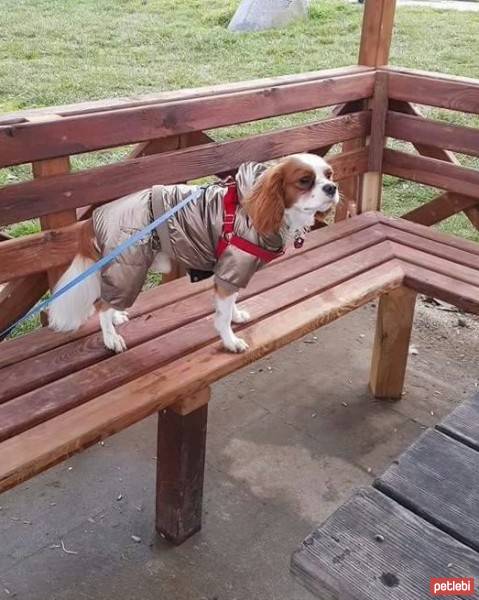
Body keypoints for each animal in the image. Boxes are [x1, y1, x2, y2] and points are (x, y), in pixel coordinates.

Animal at [48, 152, 340, 354]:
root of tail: (92, 219)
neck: (252, 206)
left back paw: (117, 316)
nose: (332, 188)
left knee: (105, 301)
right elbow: (222, 317)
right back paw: (110, 338)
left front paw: (236, 314)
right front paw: (230, 341)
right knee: (101, 304)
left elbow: (230, 303)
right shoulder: (232, 268)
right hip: (128, 266)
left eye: (330, 175)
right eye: (304, 181)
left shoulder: (232, 272)